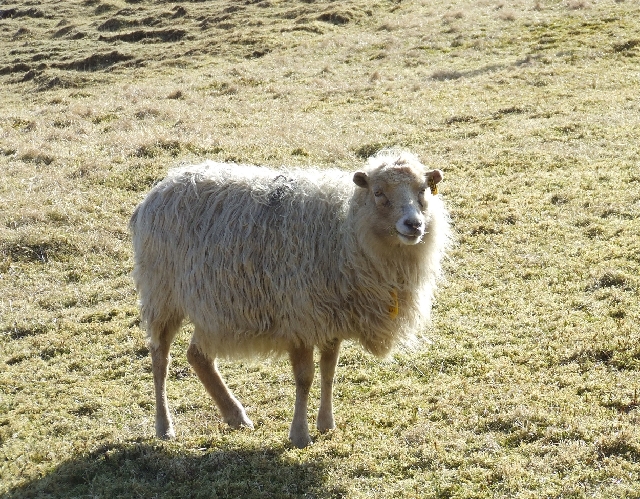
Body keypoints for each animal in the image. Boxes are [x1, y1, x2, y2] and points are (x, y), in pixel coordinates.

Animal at [129, 150, 451, 448]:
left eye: (423, 190)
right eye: (379, 192)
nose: (414, 225)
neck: (346, 232)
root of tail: (161, 187)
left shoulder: (331, 317)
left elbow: (329, 371)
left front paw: (326, 424)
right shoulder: (299, 316)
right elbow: (305, 378)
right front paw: (300, 435)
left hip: (212, 309)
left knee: (197, 355)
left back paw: (236, 416)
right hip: (161, 293)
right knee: (160, 357)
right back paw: (164, 426)